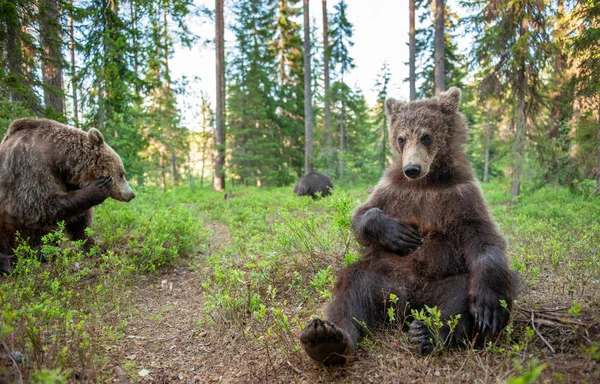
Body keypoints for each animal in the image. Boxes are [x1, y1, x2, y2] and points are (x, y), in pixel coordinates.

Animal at [0, 118, 136, 274]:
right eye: (122, 173)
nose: (131, 194)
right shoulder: (29, 166)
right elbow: (40, 205)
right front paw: (99, 188)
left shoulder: (66, 181)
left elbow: (79, 218)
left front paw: (92, 245)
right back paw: (12, 262)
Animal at [300, 88, 516, 364]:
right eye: (401, 138)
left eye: (426, 135)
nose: (412, 168)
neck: (426, 184)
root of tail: (407, 302)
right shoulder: (393, 190)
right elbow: (361, 214)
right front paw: (399, 234)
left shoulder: (460, 195)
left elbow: (484, 236)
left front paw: (490, 306)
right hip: (381, 276)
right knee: (351, 290)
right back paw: (326, 339)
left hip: (440, 283)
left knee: (458, 296)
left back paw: (427, 333)